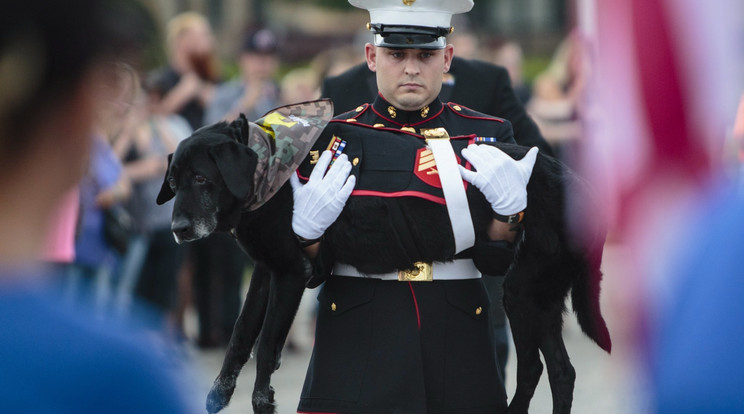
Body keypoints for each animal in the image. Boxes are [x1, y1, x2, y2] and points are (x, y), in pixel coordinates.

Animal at [158, 101, 612, 414]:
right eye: (175, 182)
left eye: (202, 179)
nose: (178, 230)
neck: (271, 163)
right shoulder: (267, 271)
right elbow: (240, 335)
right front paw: (218, 393)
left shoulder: (290, 272)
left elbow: (266, 348)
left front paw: (262, 399)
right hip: (538, 298)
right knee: (559, 371)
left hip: (521, 293)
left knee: (535, 368)